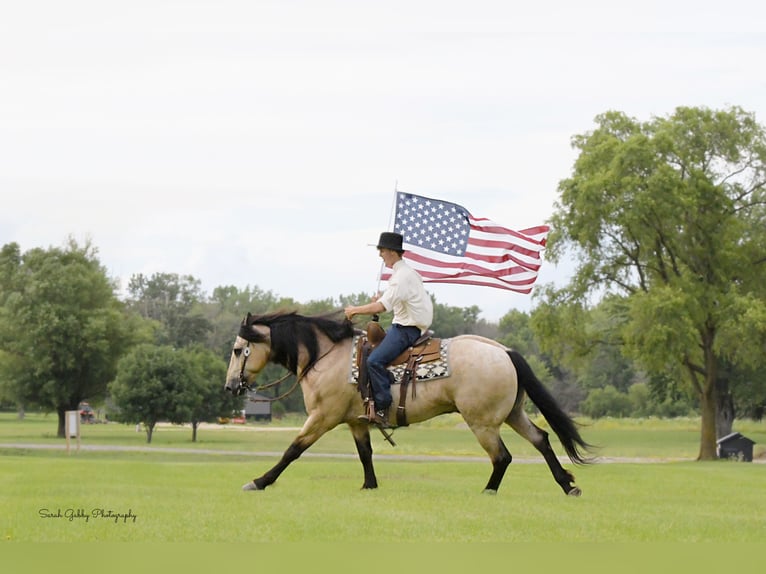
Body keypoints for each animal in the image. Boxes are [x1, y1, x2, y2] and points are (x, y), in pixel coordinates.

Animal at [224, 312, 592, 498]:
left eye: (238, 349)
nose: (230, 386)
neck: (327, 357)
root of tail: (503, 351)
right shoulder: (356, 421)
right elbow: (365, 454)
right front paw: (369, 485)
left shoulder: (322, 417)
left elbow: (293, 450)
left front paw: (259, 481)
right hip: (513, 414)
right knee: (542, 439)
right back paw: (567, 484)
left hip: (483, 422)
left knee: (502, 456)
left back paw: (489, 491)